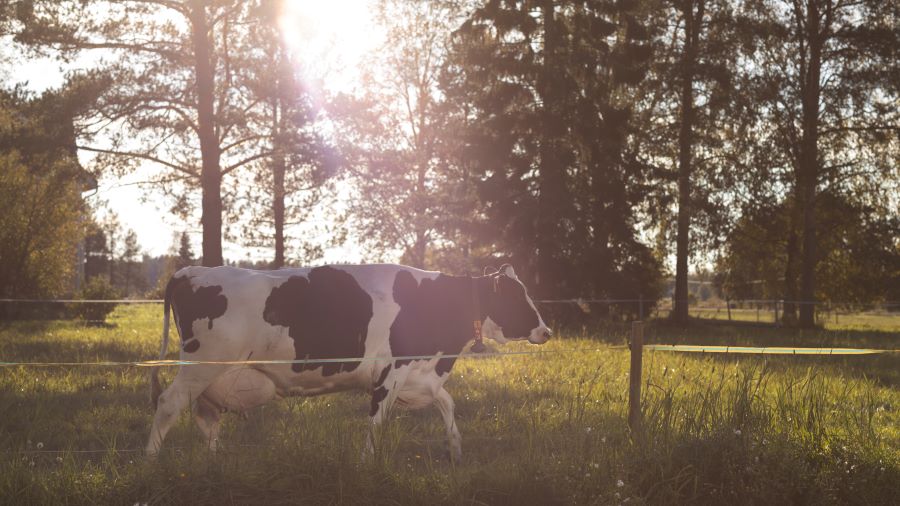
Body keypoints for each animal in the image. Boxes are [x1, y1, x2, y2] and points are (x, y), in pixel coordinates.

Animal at [145, 264, 552, 462]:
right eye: (517, 296)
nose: (546, 330)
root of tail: (191, 270)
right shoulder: (391, 373)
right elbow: (377, 423)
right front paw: (367, 464)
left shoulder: (423, 376)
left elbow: (449, 408)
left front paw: (456, 454)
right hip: (201, 365)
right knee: (167, 405)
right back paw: (149, 462)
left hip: (214, 377)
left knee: (206, 418)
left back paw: (215, 462)